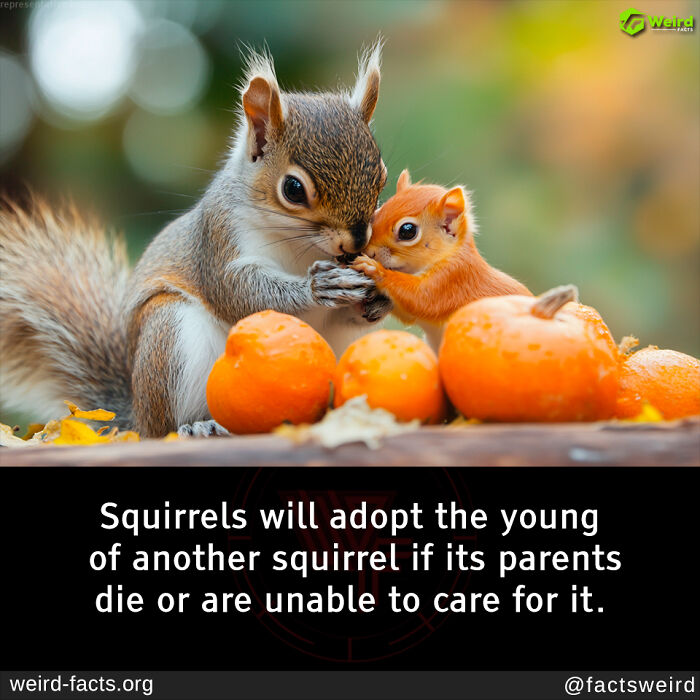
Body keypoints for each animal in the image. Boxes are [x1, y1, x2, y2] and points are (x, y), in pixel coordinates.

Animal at [0, 43, 392, 438]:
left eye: (383, 176)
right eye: (293, 189)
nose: (357, 241)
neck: (302, 246)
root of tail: (136, 417)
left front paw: (378, 298)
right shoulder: (218, 239)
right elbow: (237, 292)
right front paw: (317, 287)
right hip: (170, 335)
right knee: (165, 427)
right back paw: (197, 427)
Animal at [351, 169, 531, 350]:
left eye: (407, 231)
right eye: (376, 214)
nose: (368, 251)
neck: (449, 254)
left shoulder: (452, 278)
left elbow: (420, 299)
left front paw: (374, 268)